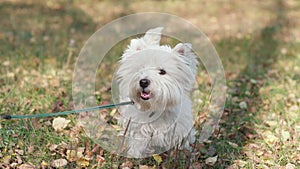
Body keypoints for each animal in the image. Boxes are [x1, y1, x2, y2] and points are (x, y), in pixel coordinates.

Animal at [116, 27, 198, 158]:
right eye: (141, 69)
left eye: (162, 71)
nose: (143, 82)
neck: (156, 107)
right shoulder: (139, 128)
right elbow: (138, 143)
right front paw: (135, 156)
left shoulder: (180, 128)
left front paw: (181, 154)